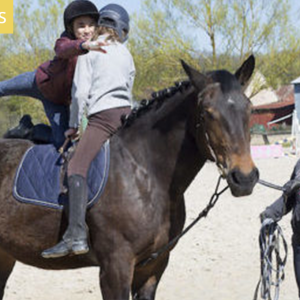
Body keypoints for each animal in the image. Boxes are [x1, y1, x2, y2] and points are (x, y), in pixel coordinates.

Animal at [0, 55, 258, 298]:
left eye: (250, 108)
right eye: (207, 113)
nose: (244, 177)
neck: (144, 172)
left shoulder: (153, 266)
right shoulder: (116, 268)